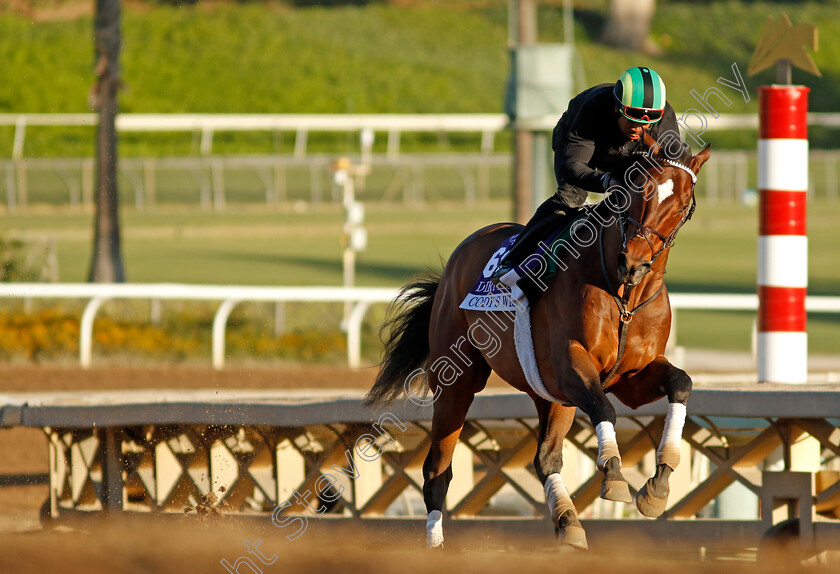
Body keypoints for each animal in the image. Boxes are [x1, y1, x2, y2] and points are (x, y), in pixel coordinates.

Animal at [366, 133, 708, 552]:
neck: (624, 295)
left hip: (549, 396)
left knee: (545, 458)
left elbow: (680, 383)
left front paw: (658, 484)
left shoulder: (630, 377)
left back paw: (568, 521)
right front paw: (614, 477)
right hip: (456, 383)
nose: (634, 263)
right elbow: (604, 408)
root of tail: (458, 258)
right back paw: (436, 546)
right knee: (437, 471)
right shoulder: (569, 366)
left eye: (682, 203)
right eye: (637, 189)